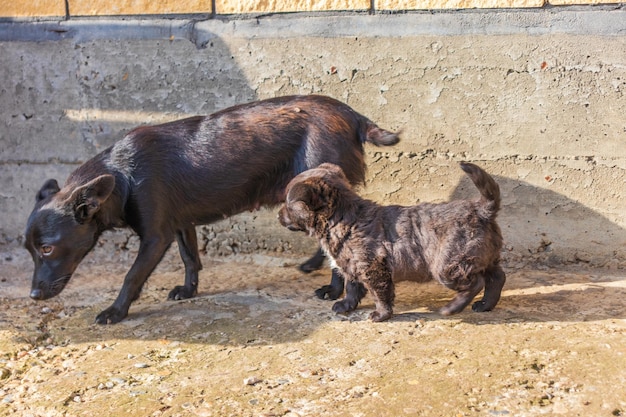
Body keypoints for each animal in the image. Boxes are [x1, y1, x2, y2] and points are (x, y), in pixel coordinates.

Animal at [24, 96, 398, 324]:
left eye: (47, 249)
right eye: (29, 250)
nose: (33, 295)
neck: (122, 175)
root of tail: (351, 115)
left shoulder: (155, 237)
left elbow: (132, 276)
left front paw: (116, 311)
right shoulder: (180, 224)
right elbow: (191, 258)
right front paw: (189, 290)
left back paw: (336, 292)